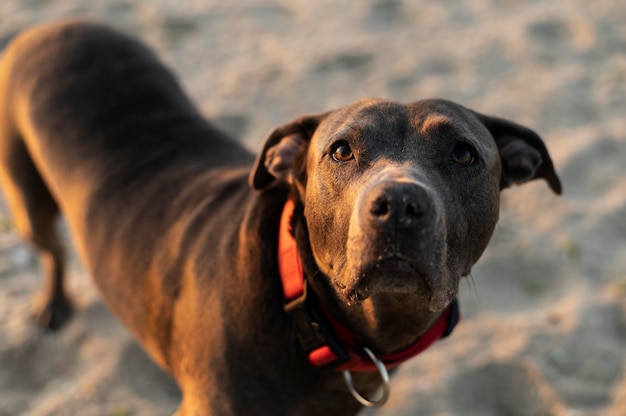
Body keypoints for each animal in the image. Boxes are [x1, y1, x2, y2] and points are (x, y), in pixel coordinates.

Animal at [0, 20, 560, 416]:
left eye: (464, 154)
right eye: (340, 150)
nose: (399, 204)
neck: (310, 315)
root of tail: (56, 25)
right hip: (28, 199)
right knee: (50, 248)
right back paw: (53, 304)